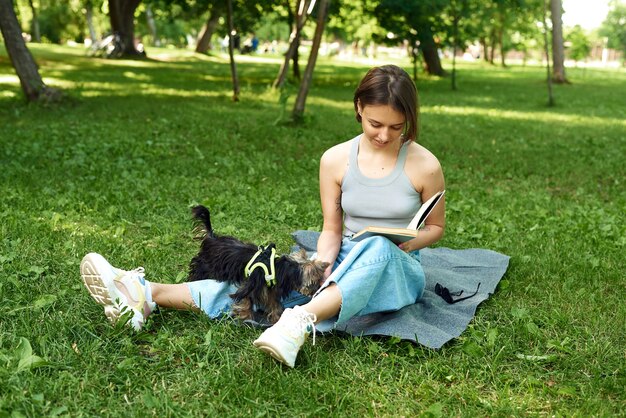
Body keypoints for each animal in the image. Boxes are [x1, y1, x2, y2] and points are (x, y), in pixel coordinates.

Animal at [188, 206, 330, 324]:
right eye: (315, 282)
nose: (318, 290)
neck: (280, 269)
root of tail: (212, 238)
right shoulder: (251, 285)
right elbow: (245, 300)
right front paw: (246, 317)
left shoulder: (270, 290)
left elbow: (274, 304)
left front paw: (276, 318)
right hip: (205, 265)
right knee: (196, 272)